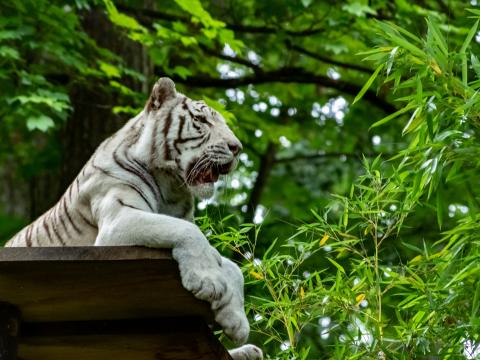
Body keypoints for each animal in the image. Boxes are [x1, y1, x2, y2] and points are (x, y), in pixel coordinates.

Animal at [6, 77, 262, 358]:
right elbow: (189, 233)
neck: (172, 187)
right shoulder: (118, 219)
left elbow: (229, 264)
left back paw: (249, 351)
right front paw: (208, 282)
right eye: (201, 120)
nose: (237, 148)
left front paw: (236, 319)